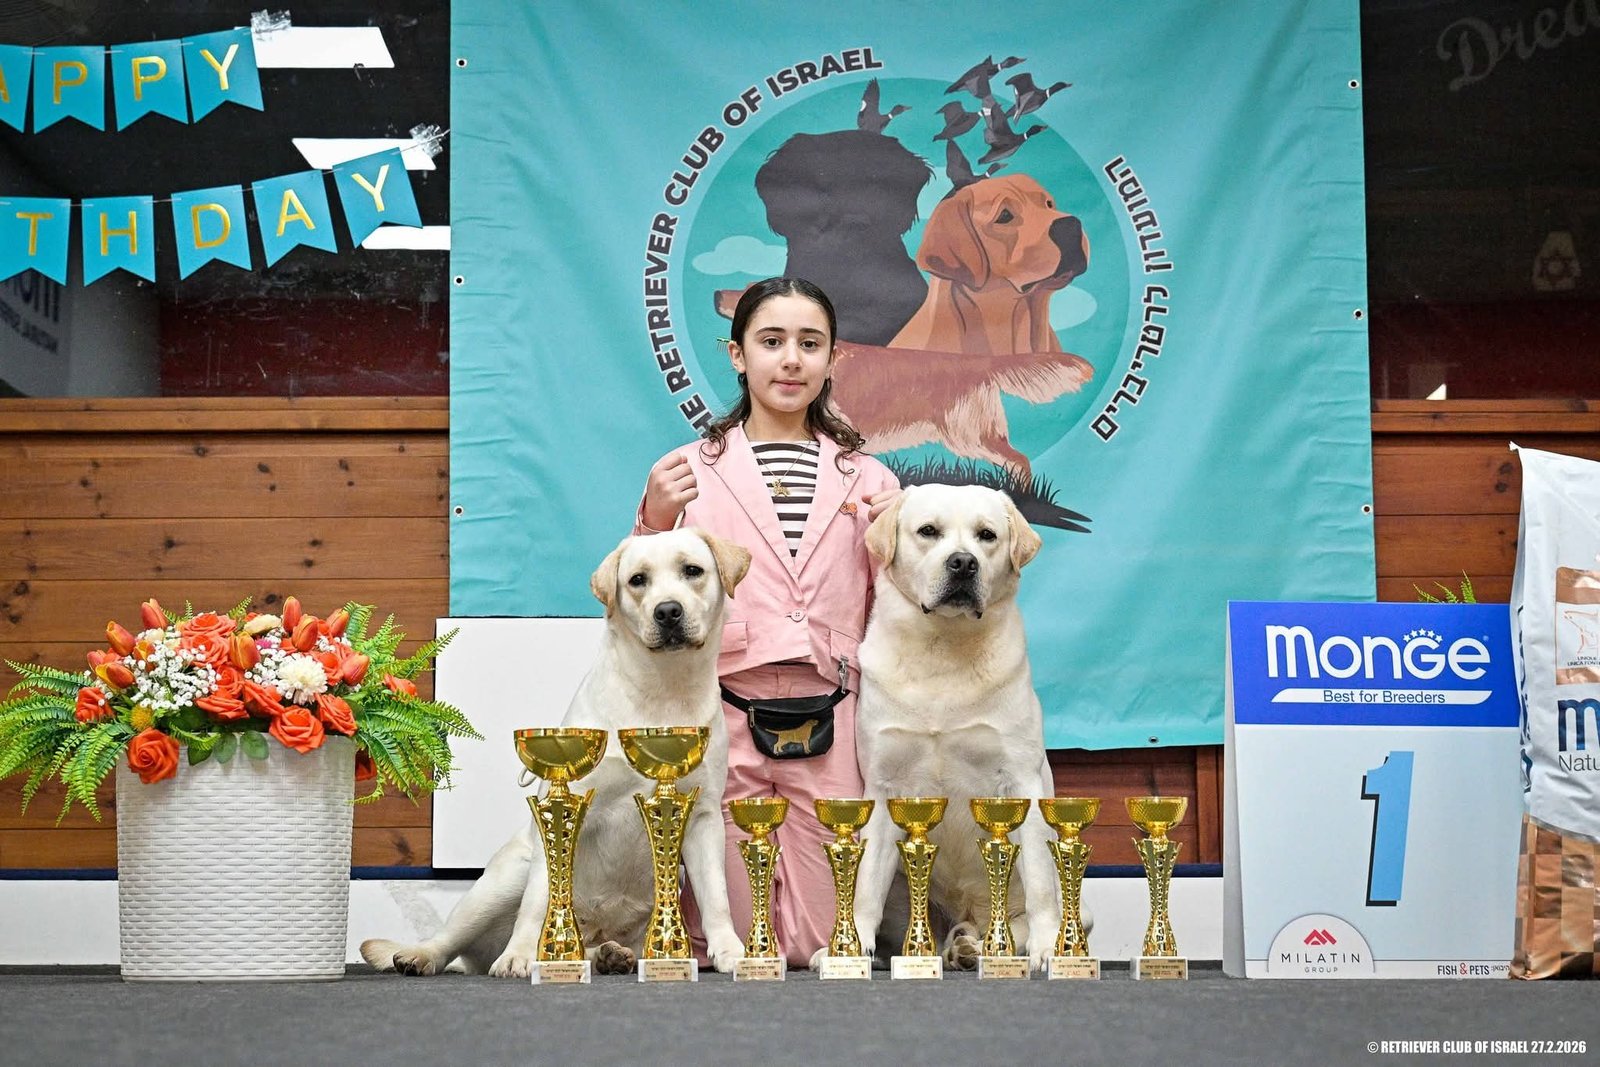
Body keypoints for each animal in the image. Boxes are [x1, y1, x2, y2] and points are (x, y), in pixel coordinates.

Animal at [360, 528, 753, 977]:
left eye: (693, 571)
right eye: (637, 580)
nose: (667, 611)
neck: (663, 690)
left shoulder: (702, 816)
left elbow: (717, 897)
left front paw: (733, 952)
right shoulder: (567, 806)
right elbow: (538, 902)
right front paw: (518, 956)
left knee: (590, 948)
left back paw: (611, 955)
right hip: (502, 881)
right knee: (451, 938)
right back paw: (425, 955)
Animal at [844, 483, 1061, 972]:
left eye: (987, 535)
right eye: (928, 531)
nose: (963, 563)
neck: (942, 647)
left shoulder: (1022, 781)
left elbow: (1040, 883)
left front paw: (1046, 949)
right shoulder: (883, 787)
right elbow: (864, 886)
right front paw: (849, 949)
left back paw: (975, 947)